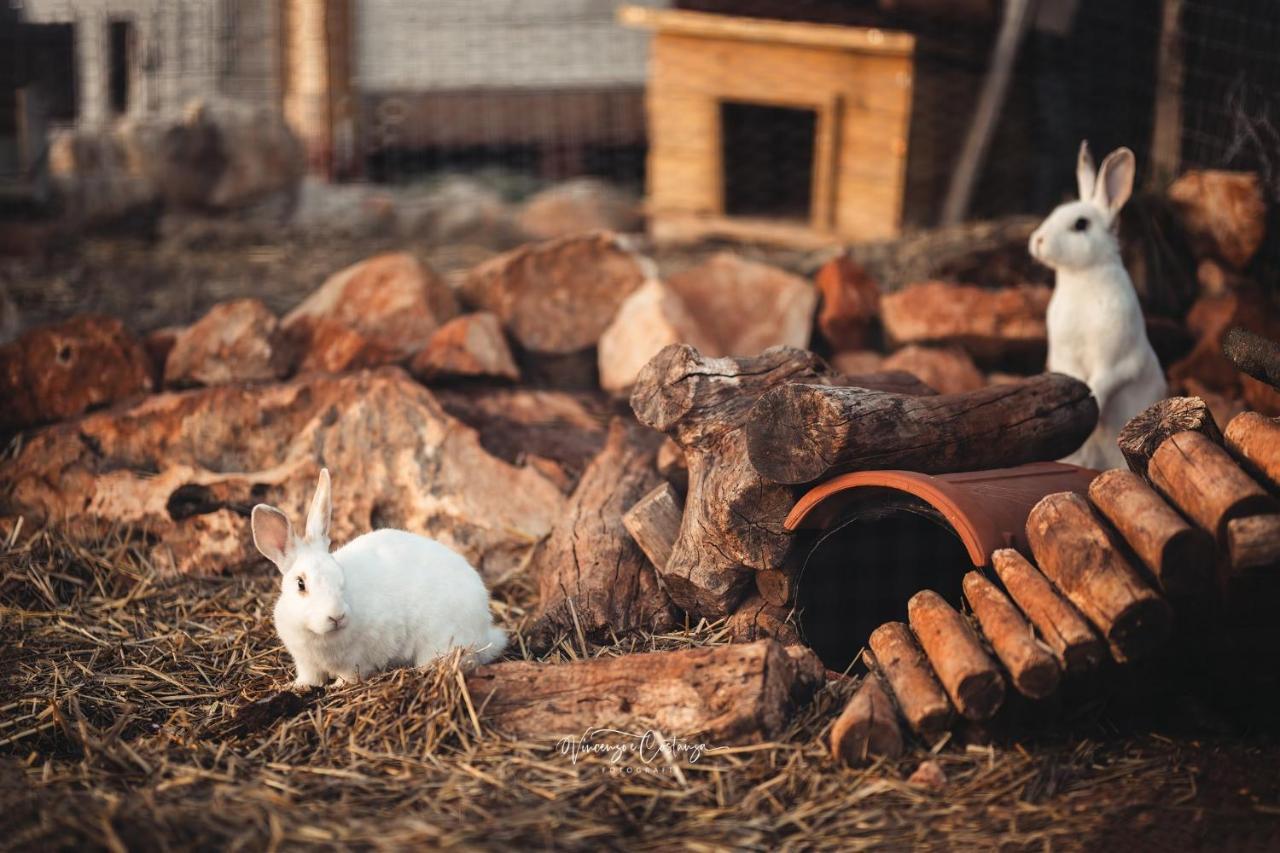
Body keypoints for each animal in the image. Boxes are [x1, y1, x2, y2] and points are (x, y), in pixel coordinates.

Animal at [247, 468, 506, 686]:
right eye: (300, 584)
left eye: (340, 576)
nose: (337, 616)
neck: (318, 635)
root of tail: (484, 629)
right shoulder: (306, 663)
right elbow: (310, 678)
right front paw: (297, 687)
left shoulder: (356, 661)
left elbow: (350, 676)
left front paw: (337, 687)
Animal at [1029, 142, 1172, 468]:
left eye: (1081, 224)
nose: (1038, 241)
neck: (1080, 277)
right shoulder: (1065, 357)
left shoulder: (1115, 360)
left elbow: (1102, 384)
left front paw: (1091, 405)